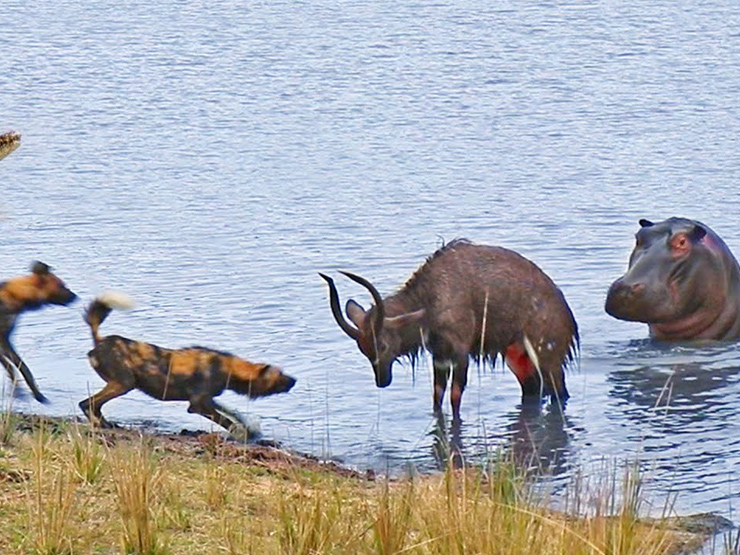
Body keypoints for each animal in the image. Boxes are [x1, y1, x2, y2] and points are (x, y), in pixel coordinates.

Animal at [0, 262, 78, 402]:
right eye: (61, 285)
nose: (76, 296)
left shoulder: (5, 340)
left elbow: (16, 369)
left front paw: (22, 393)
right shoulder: (3, 340)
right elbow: (20, 368)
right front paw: (37, 395)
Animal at [80, 294, 298, 432]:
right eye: (280, 375)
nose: (294, 380)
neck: (229, 368)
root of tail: (100, 340)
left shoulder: (207, 400)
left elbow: (233, 414)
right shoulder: (198, 404)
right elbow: (226, 420)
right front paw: (246, 435)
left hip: (121, 384)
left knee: (93, 406)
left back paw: (107, 425)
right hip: (124, 384)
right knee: (87, 403)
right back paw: (100, 425)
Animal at [320, 240, 580, 422]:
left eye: (382, 344)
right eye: (363, 349)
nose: (382, 381)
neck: (429, 301)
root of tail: (570, 323)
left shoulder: (461, 354)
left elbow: (455, 398)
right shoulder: (440, 357)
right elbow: (437, 397)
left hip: (547, 359)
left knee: (559, 392)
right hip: (517, 359)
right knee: (536, 391)